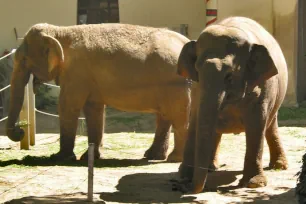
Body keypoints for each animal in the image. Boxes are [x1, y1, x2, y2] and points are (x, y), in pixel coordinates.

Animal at [5, 22, 191, 163]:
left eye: (24, 59)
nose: (20, 130)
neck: (60, 31)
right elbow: (93, 109)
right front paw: (89, 158)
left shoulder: (77, 73)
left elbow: (67, 106)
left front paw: (59, 158)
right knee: (165, 116)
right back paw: (152, 156)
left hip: (176, 85)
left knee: (178, 117)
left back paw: (174, 159)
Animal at [176, 16, 288, 194]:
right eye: (198, 71)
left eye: (229, 76)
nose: (184, 187)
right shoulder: (196, 88)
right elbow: (195, 120)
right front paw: (184, 175)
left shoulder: (262, 89)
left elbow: (256, 125)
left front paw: (254, 183)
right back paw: (211, 168)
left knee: (270, 126)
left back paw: (279, 166)